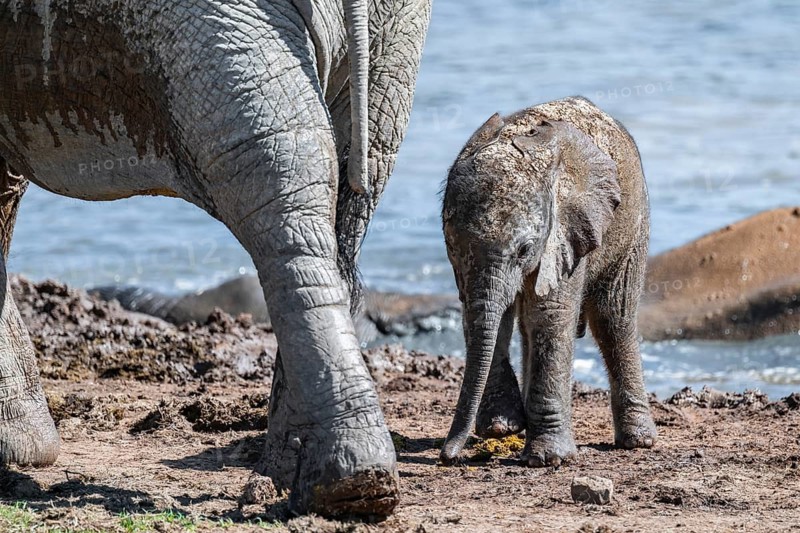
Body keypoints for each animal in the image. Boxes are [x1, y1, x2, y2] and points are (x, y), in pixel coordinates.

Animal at [0, 0, 431, 518]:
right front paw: (23, 452)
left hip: (214, 27)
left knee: (276, 185)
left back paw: (335, 486)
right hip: (392, 35)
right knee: (336, 192)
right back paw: (318, 482)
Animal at [438, 97, 657, 466]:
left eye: (525, 249)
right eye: (453, 246)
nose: (448, 457)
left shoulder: (567, 230)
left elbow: (551, 312)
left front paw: (548, 459)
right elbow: (482, 311)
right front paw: (502, 428)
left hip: (633, 223)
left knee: (614, 319)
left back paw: (638, 442)